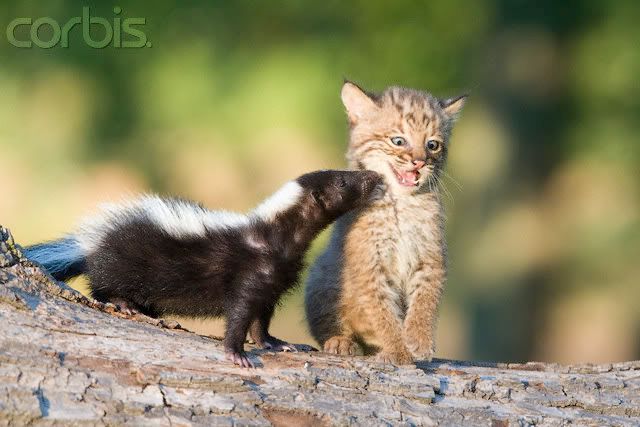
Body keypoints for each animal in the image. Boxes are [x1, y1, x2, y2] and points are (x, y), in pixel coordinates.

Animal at [25, 171, 382, 368]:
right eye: (343, 181)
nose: (374, 177)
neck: (277, 234)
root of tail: (88, 244)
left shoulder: (272, 279)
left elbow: (261, 319)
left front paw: (275, 343)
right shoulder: (249, 271)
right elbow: (239, 313)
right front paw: (236, 354)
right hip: (126, 261)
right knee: (103, 285)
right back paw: (124, 304)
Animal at [304, 83, 464, 364]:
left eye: (432, 145)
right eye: (398, 141)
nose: (420, 162)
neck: (402, 202)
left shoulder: (431, 257)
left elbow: (426, 301)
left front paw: (419, 340)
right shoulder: (369, 265)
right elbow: (381, 312)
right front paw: (398, 350)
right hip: (319, 277)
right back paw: (340, 341)